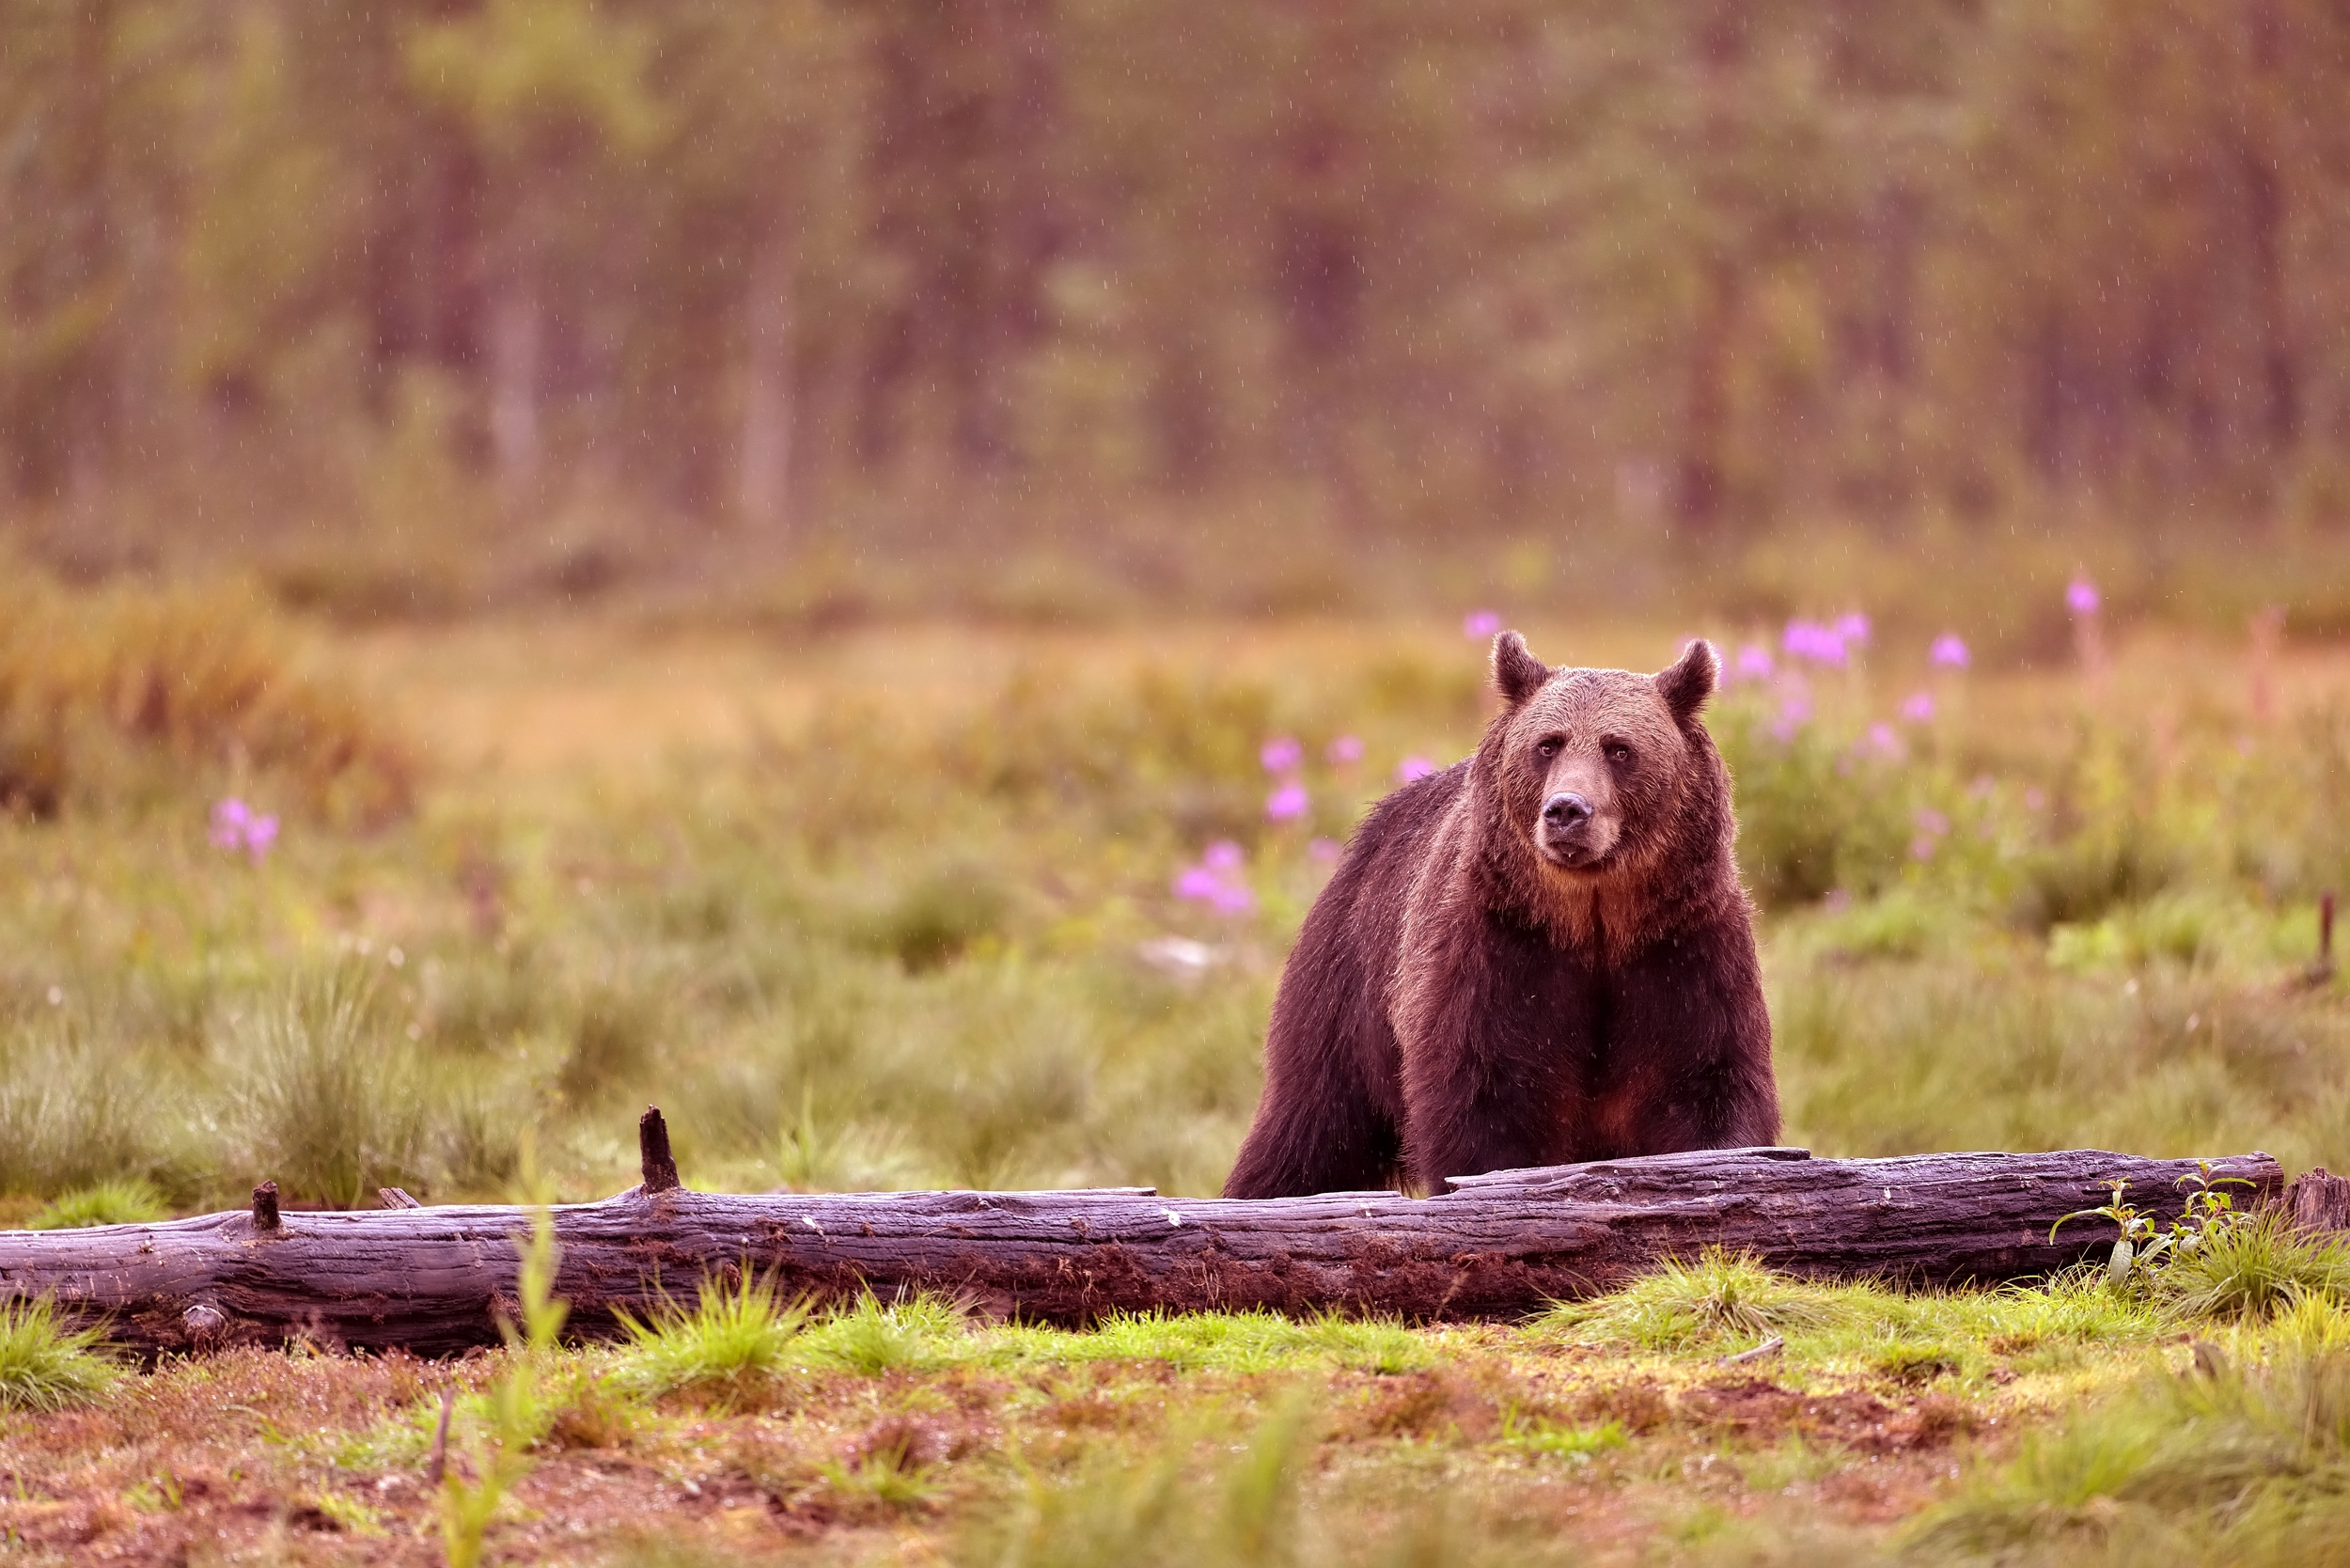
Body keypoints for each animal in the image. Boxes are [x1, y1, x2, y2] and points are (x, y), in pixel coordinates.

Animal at [1221, 632, 1777, 1199]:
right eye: (1548, 744)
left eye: (1620, 748)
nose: (1567, 810)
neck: (1594, 922)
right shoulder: (1499, 949)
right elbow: (1485, 1099)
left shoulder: (1683, 948)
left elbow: (1706, 1081)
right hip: (1349, 986)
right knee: (1311, 1126)